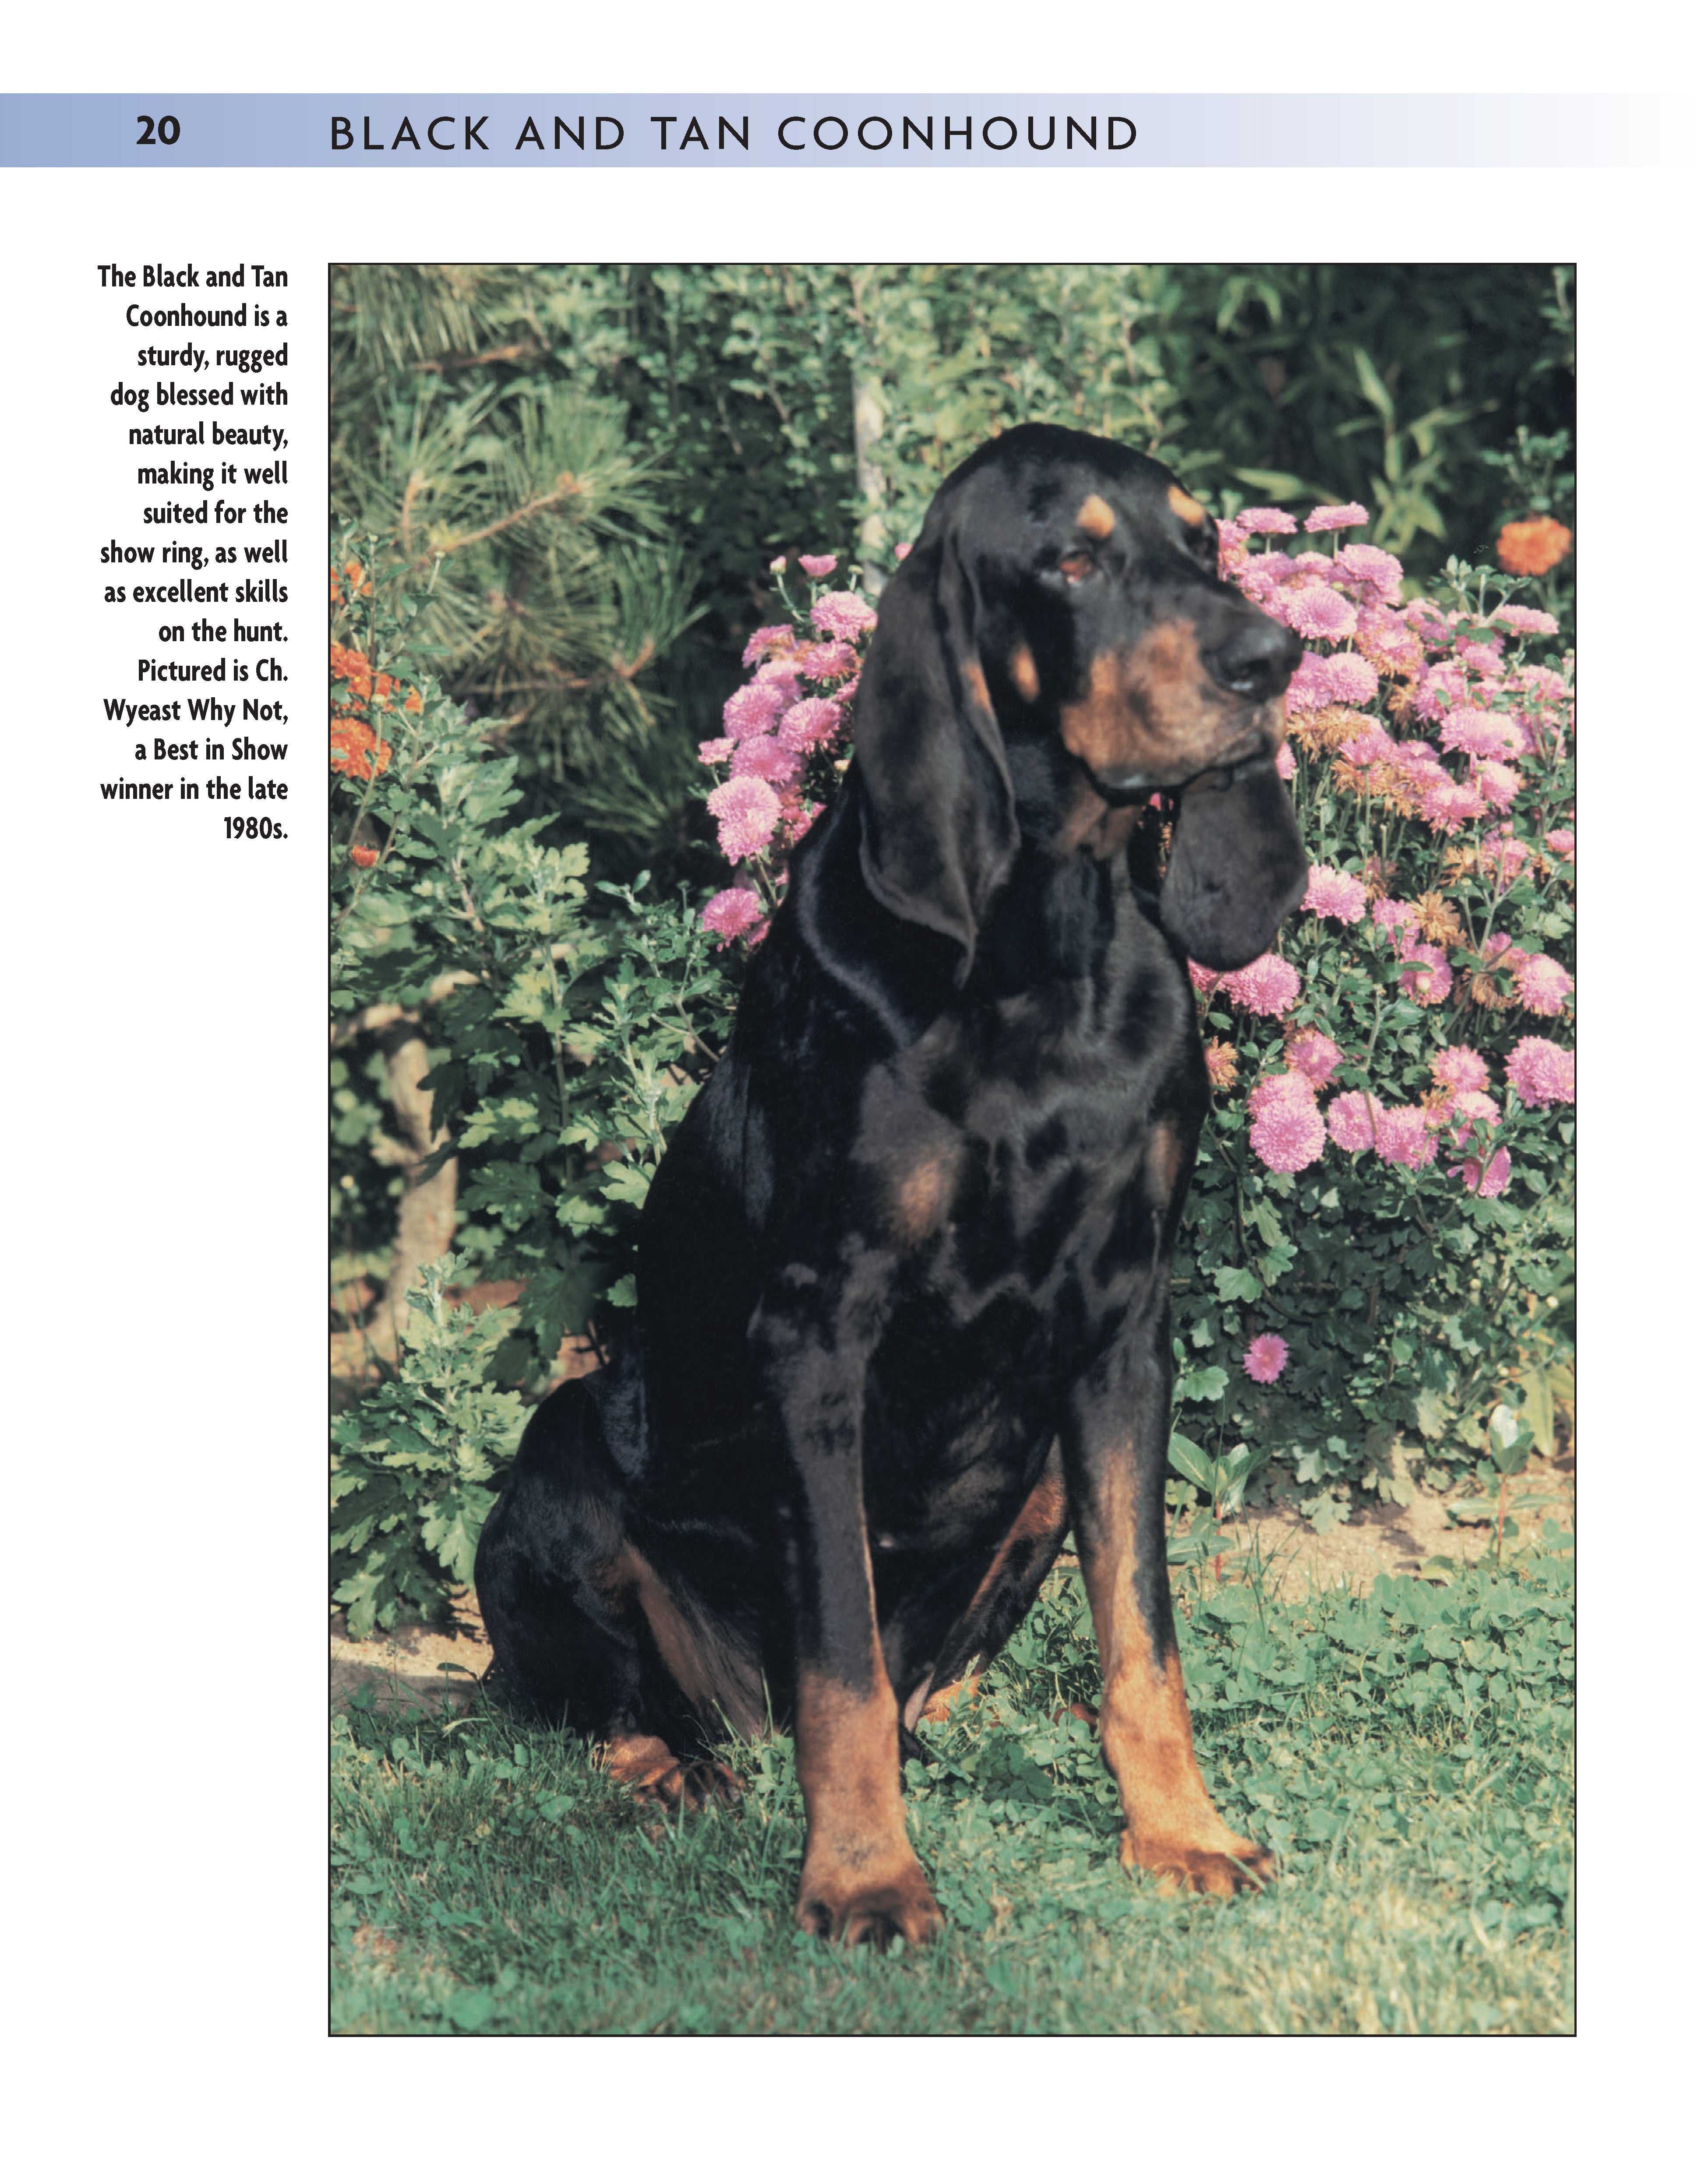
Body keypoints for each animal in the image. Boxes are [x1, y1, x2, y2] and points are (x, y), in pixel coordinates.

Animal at [476, 423, 1309, 1951]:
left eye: (1206, 542)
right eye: (1072, 560)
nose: (1269, 660)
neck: (1046, 947)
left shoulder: (1124, 1331)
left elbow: (1141, 1635)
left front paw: (1180, 1830)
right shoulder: (821, 1331)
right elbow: (841, 1663)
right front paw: (865, 1874)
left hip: (1035, 1473)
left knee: (930, 1685)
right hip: (564, 1451)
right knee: (610, 1697)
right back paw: (671, 1766)